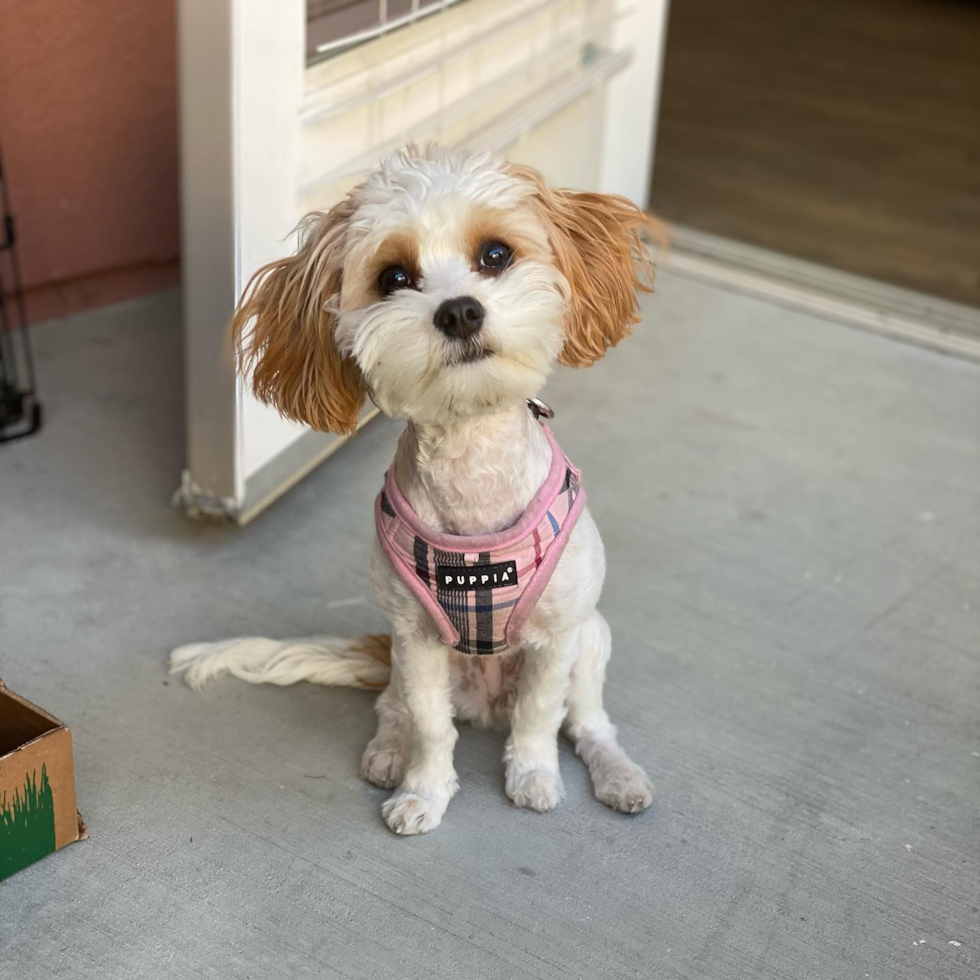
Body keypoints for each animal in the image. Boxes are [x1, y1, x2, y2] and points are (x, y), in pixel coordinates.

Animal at [169, 144, 660, 836]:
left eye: (495, 255)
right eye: (394, 278)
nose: (459, 310)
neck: (472, 458)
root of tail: (486, 702)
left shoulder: (559, 636)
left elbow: (540, 715)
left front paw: (533, 776)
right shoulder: (420, 643)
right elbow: (432, 728)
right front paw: (423, 791)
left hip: (592, 639)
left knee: (589, 724)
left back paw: (618, 775)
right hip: (404, 652)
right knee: (393, 705)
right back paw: (388, 750)